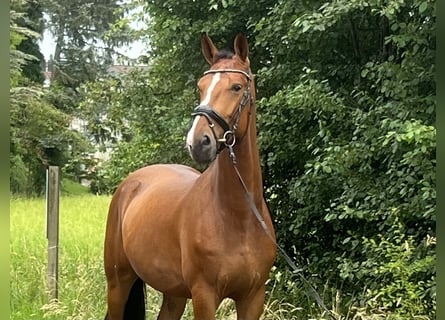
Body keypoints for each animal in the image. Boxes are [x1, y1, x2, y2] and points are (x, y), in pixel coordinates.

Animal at [104, 33, 276, 318]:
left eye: (237, 87)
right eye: (200, 86)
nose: (198, 142)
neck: (238, 217)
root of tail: (130, 184)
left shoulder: (253, 298)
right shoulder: (204, 295)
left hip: (173, 293)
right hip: (118, 283)